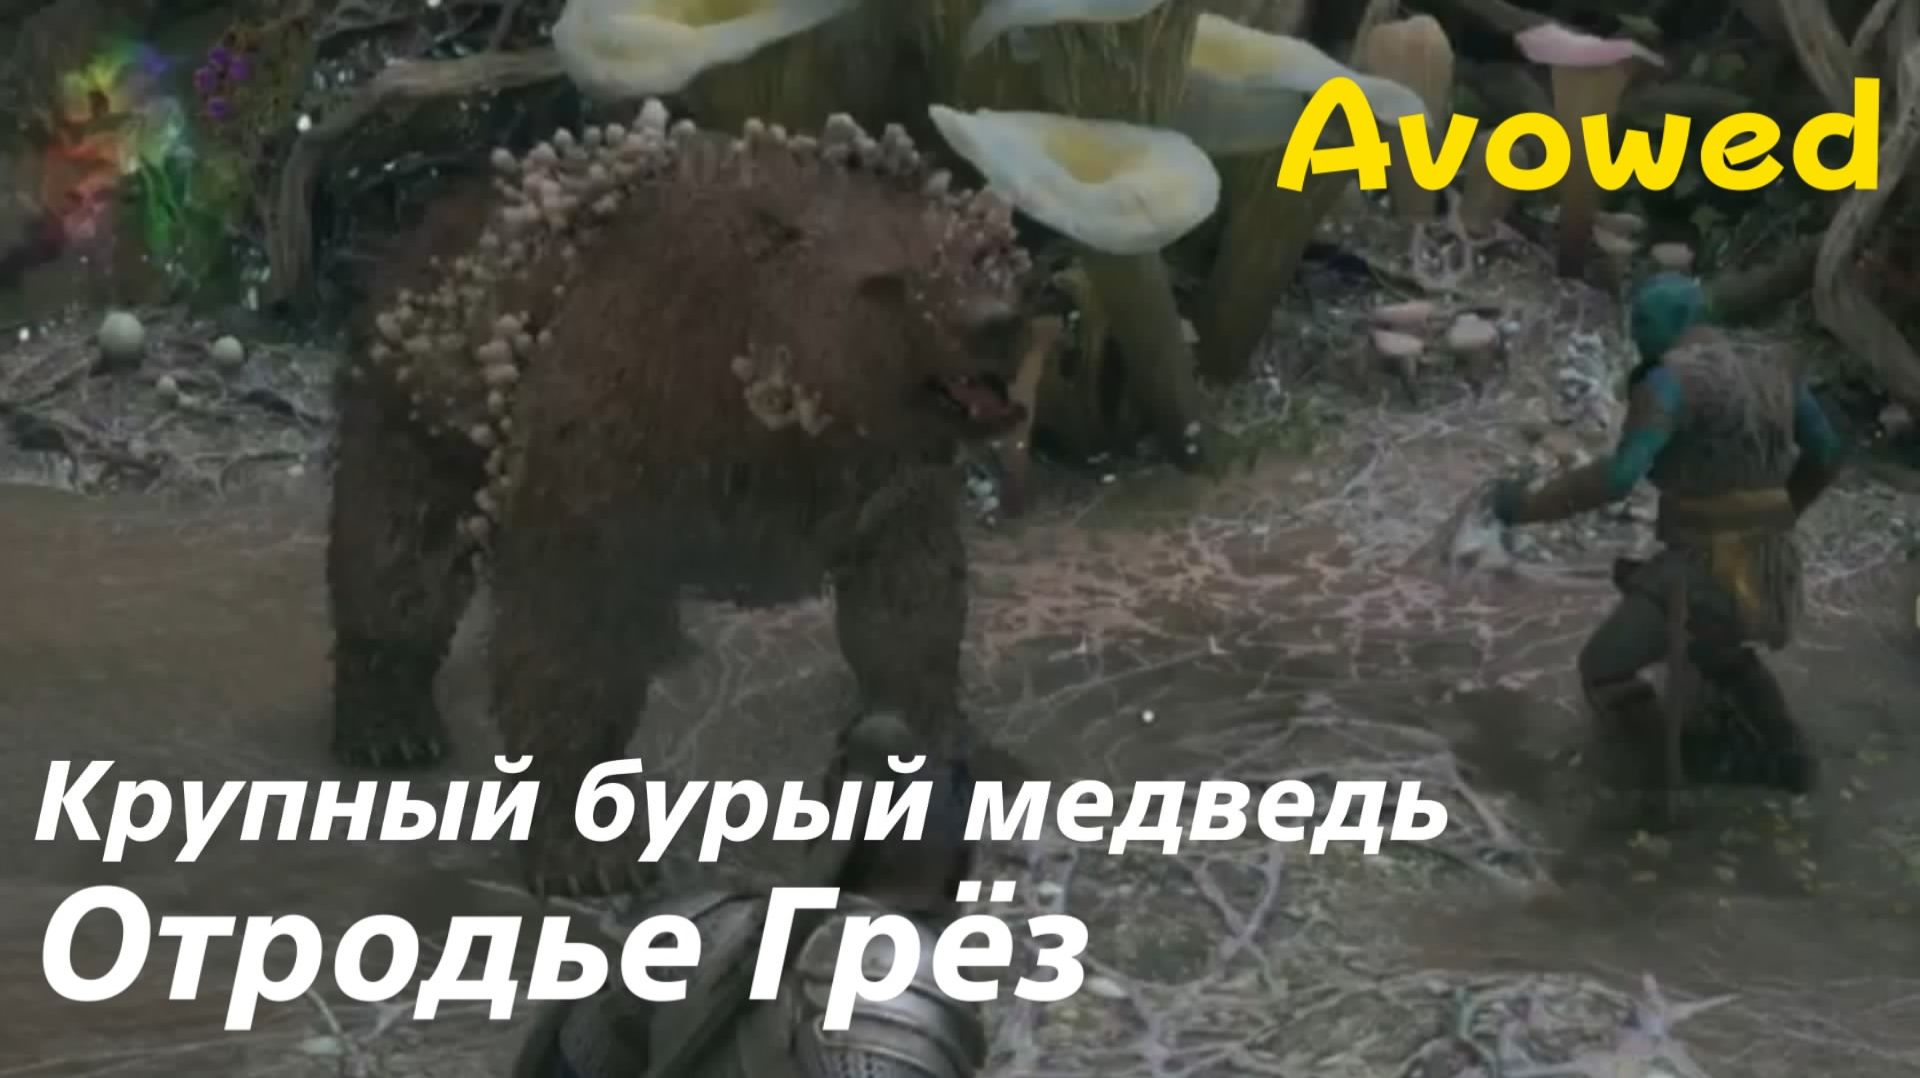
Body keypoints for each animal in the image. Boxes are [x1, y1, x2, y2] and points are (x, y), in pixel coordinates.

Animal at [326, 99, 1034, 897]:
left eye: (980, 253)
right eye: (890, 281)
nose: (996, 325)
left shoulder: (887, 488)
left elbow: (911, 617)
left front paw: (950, 754)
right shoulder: (600, 446)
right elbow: (568, 642)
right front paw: (589, 853)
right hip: (427, 404)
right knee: (399, 554)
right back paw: (389, 725)